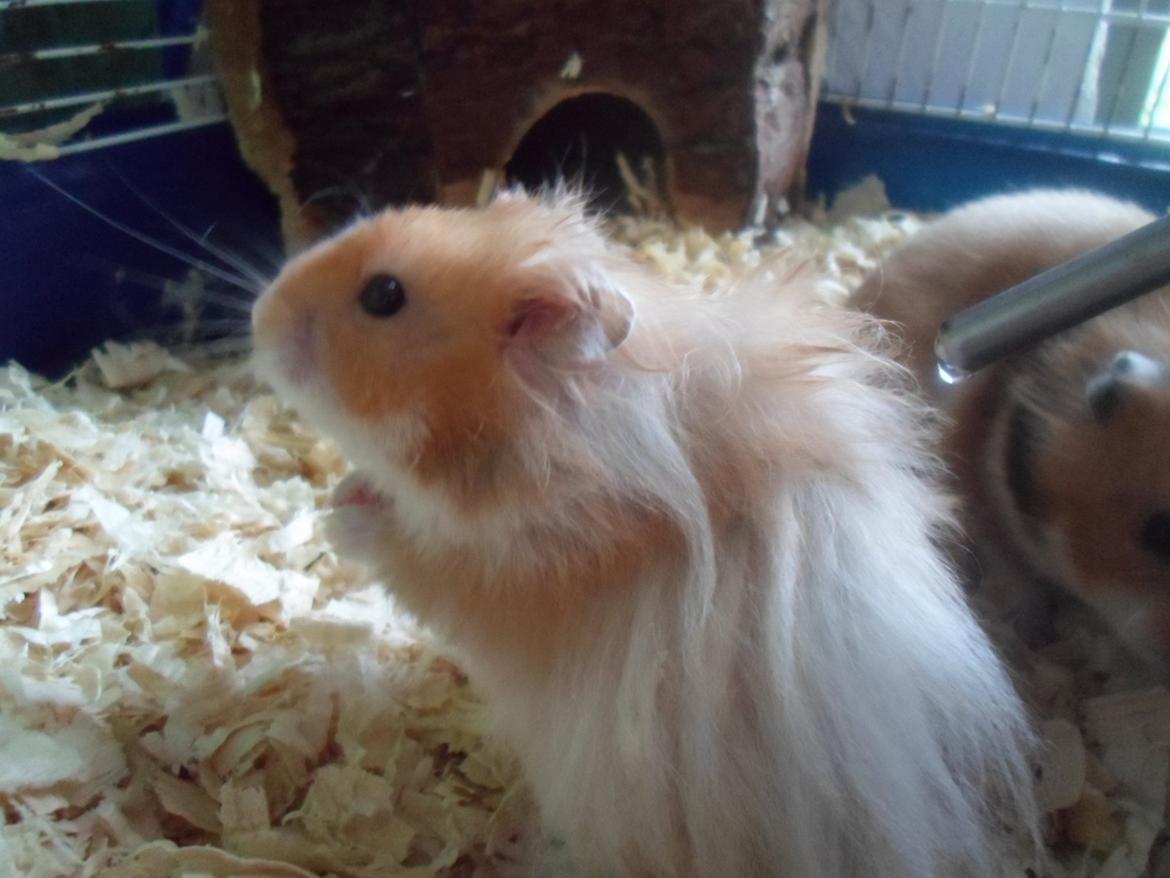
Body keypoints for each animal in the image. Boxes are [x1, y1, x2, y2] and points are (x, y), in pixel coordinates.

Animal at [251, 190, 1037, 877]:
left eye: (383, 296)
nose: (260, 314)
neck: (544, 441)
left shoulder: (496, 577)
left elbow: (410, 556)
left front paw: (343, 510)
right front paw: (345, 487)